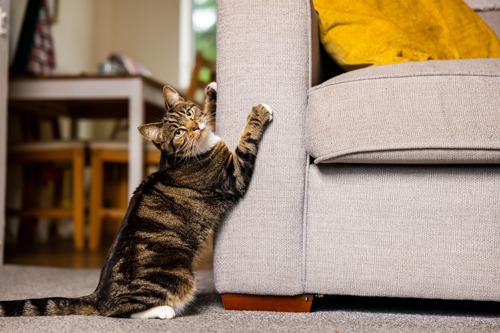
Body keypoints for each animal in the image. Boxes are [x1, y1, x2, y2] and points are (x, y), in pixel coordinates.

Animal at [0, 81, 274, 318]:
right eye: (178, 132)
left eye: (189, 112)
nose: (195, 126)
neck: (182, 157)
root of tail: (99, 296)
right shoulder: (232, 175)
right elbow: (246, 142)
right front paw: (258, 113)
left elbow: (210, 114)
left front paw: (211, 92)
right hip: (180, 276)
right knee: (121, 311)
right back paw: (164, 311)